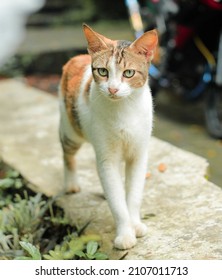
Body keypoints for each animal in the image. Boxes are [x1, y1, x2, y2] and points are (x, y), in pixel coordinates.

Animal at [59, 24, 158, 249]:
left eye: (128, 73)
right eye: (103, 71)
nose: (113, 88)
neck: (124, 110)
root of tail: (77, 57)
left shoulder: (139, 155)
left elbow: (134, 195)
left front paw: (135, 224)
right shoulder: (107, 158)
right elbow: (117, 202)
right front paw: (125, 233)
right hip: (71, 130)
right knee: (67, 154)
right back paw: (71, 183)